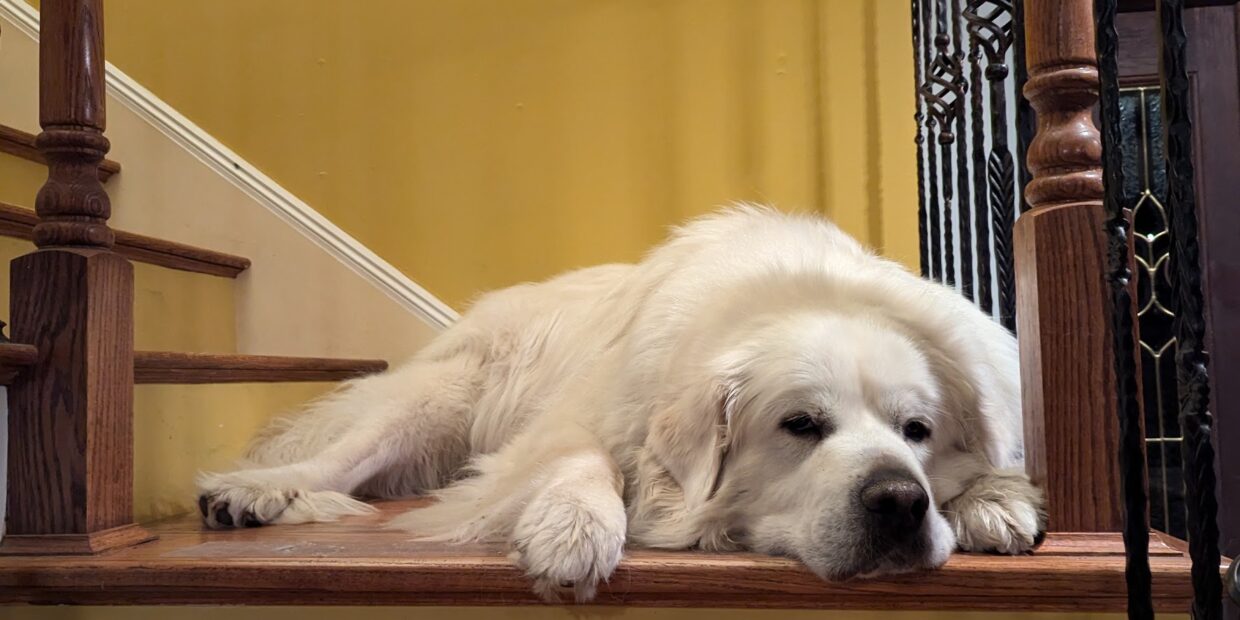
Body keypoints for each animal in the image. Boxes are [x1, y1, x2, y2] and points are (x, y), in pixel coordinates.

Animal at [195, 207, 1046, 600]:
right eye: (800, 425)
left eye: (918, 430)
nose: (900, 501)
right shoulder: (577, 421)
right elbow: (585, 458)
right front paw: (573, 529)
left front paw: (996, 500)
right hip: (435, 400)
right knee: (333, 461)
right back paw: (255, 492)